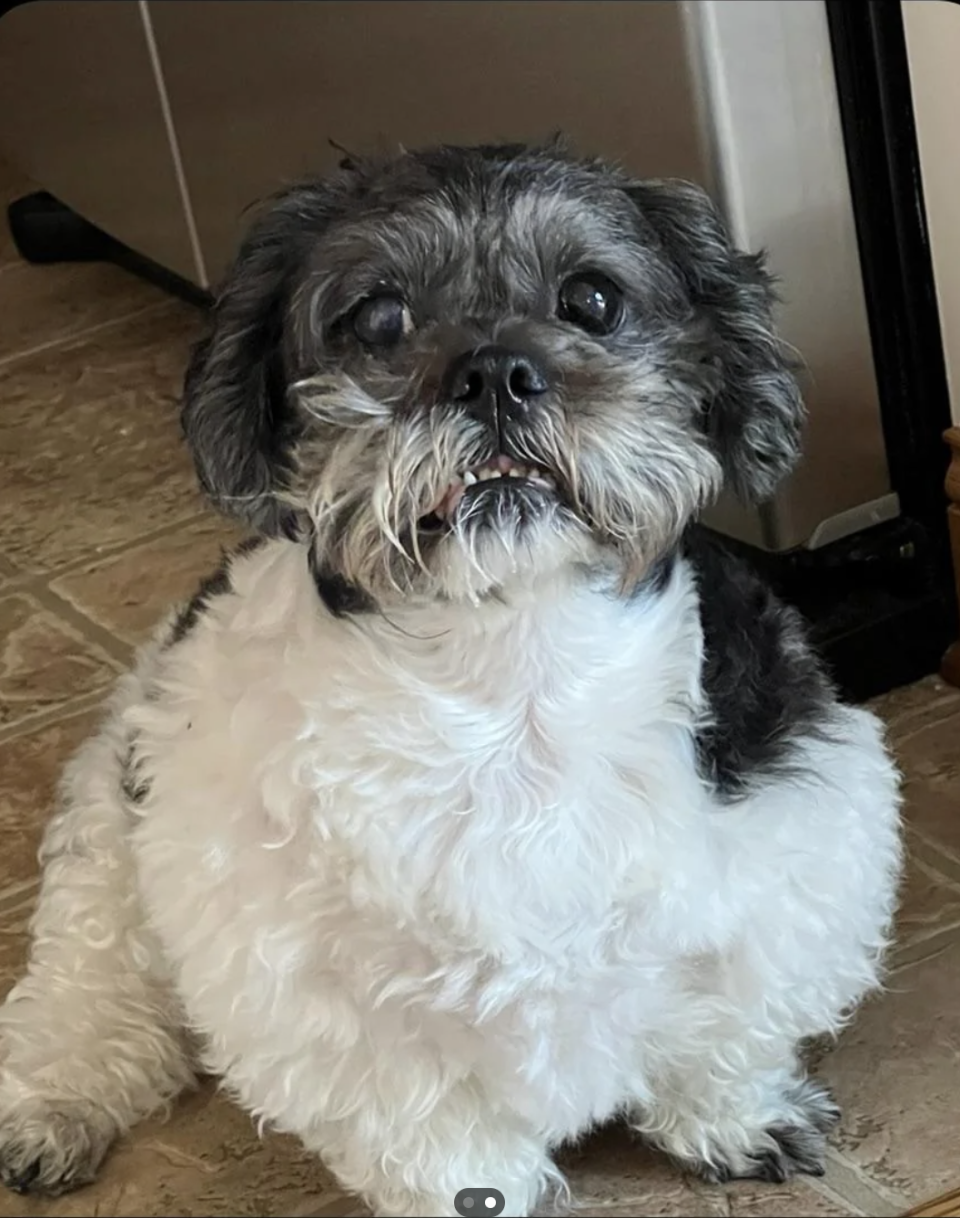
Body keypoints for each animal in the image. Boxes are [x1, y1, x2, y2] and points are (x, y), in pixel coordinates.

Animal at [0, 144, 901, 1218]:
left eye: (592, 299)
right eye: (379, 317)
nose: (496, 372)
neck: (515, 678)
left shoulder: (788, 853)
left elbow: (724, 1032)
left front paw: (734, 1116)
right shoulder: (323, 997)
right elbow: (434, 1138)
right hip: (111, 838)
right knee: (89, 991)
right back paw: (54, 1102)